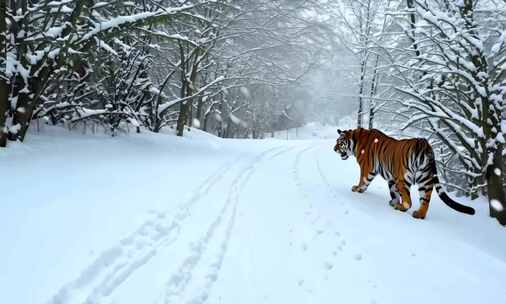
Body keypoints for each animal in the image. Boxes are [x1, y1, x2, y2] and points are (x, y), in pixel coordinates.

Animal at [334, 128, 476, 218]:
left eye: (340, 143)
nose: (334, 148)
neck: (356, 140)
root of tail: (424, 144)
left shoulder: (367, 167)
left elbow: (363, 180)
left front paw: (357, 189)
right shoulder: (392, 177)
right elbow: (393, 191)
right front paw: (394, 201)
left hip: (404, 178)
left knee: (409, 201)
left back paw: (401, 207)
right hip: (426, 180)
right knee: (425, 201)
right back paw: (418, 214)